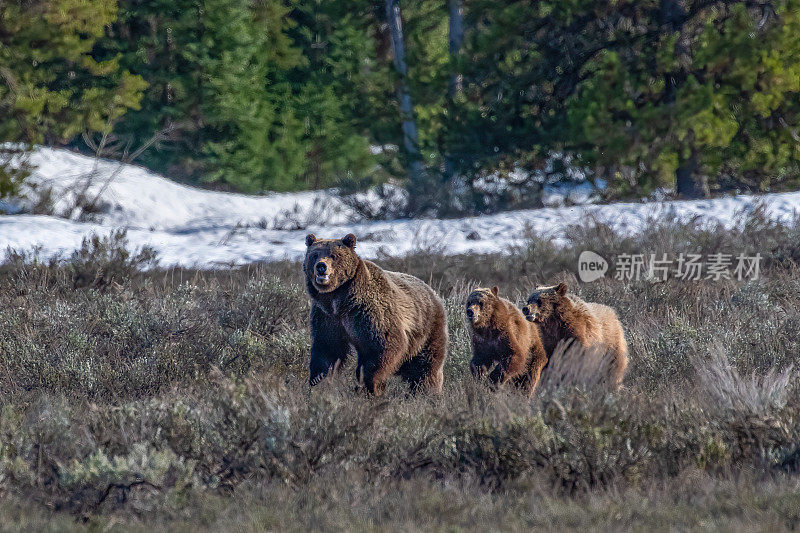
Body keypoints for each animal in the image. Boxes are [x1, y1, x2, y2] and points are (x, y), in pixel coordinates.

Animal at [304, 233, 446, 394]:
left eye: (334, 255)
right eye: (314, 255)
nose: (321, 266)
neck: (339, 299)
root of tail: (433, 292)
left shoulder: (368, 312)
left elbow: (385, 344)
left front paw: (369, 383)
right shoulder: (327, 316)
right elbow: (328, 348)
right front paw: (318, 380)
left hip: (426, 329)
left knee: (425, 365)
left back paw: (427, 392)